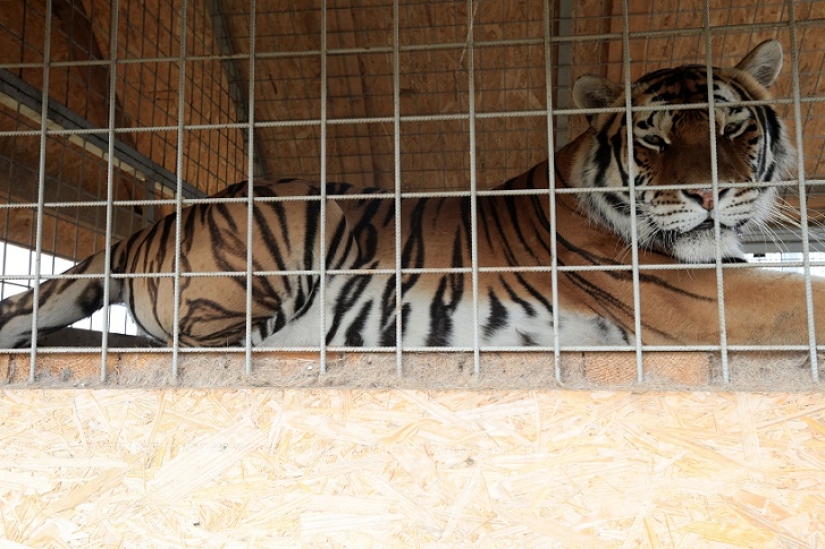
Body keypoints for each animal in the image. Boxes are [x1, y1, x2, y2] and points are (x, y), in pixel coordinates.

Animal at [0, 39, 823, 350]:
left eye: (731, 126)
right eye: (652, 138)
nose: (709, 194)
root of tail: (152, 225)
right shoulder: (699, 296)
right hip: (276, 241)